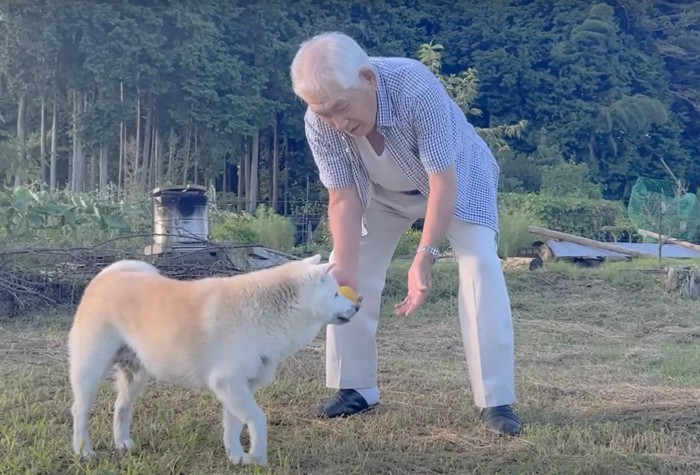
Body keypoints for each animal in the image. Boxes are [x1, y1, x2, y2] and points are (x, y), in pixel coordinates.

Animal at [68, 255, 360, 466]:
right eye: (336, 294)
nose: (357, 306)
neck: (264, 312)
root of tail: (106, 276)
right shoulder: (228, 383)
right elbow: (258, 419)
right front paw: (258, 456)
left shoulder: (239, 388)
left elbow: (234, 425)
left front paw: (237, 457)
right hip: (89, 372)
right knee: (80, 411)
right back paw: (83, 450)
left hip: (136, 376)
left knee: (121, 408)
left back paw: (122, 443)